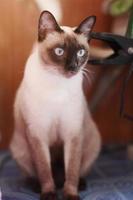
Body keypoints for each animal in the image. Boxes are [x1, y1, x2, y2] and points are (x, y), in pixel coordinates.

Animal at [10, 10, 101, 200]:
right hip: (20, 149)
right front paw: (49, 194)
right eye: (59, 51)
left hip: (93, 142)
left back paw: (79, 184)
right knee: (35, 174)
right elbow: (44, 170)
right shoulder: (38, 133)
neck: (57, 85)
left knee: (75, 173)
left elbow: (72, 171)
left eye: (81, 52)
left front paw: (71, 195)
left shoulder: (72, 133)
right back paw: (37, 187)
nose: (73, 67)